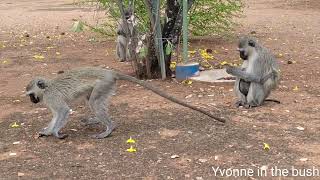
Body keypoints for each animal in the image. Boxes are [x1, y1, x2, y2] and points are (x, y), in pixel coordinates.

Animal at [25, 67, 225, 139]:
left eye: (31, 94)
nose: (33, 101)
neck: (47, 87)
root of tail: (110, 72)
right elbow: (55, 116)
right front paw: (47, 131)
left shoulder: (52, 98)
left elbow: (63, 111)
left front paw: (55, 133)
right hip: (106, 86)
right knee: (95, 101)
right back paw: (97, 121)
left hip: (103, 84)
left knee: (95, 103)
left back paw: (109, 128)